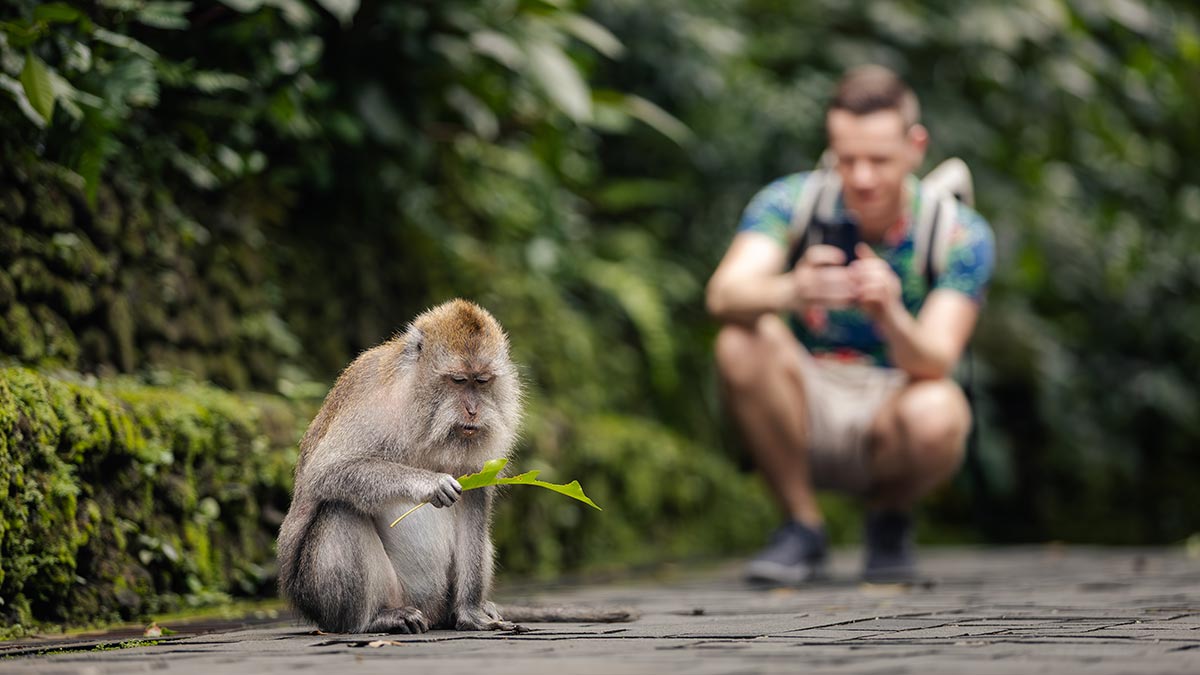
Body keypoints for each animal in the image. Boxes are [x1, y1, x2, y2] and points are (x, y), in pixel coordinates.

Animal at [276, 299, 523, 633]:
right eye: (459, 380)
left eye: (482, 381)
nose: (473, 410)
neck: (423, 416)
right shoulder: (372, 402)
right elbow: (327, 471)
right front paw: (430, 483)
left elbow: (474, 498)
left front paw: (471, 611)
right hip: (325, 598)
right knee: (339, 510)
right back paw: (374, 619)